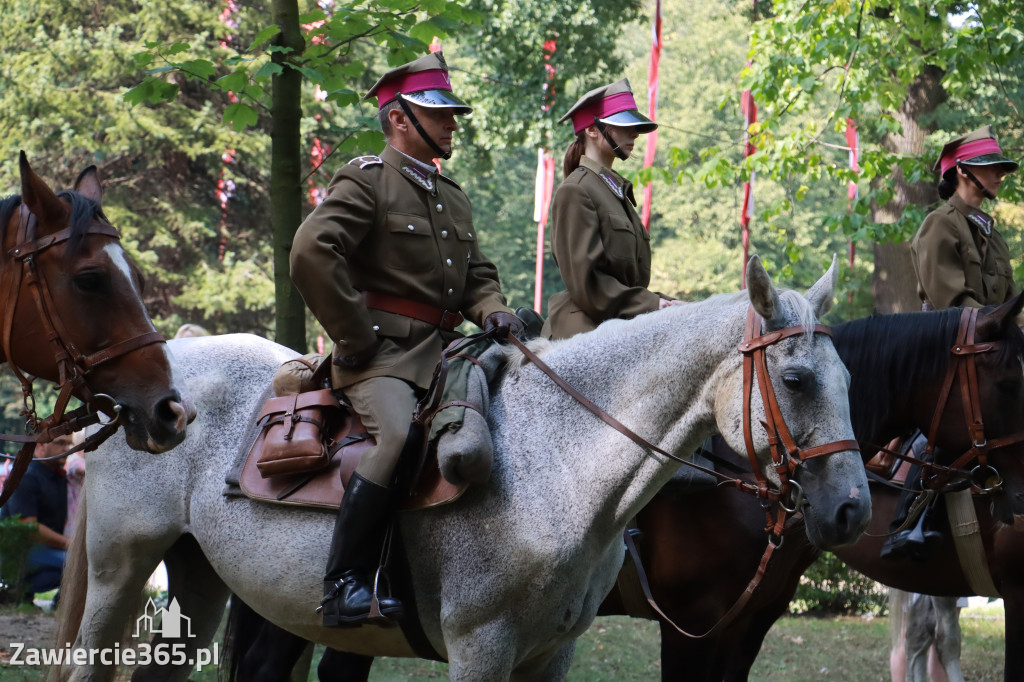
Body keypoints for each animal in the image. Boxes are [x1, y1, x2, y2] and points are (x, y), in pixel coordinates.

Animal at [56, 256, 868, 679]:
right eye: (797, 380)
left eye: (850, 379)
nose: (853, 509)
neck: (561, 460)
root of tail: (155, 380)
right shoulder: (482, 649)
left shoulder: (553, 655)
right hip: (123, 572)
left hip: (203, 581)